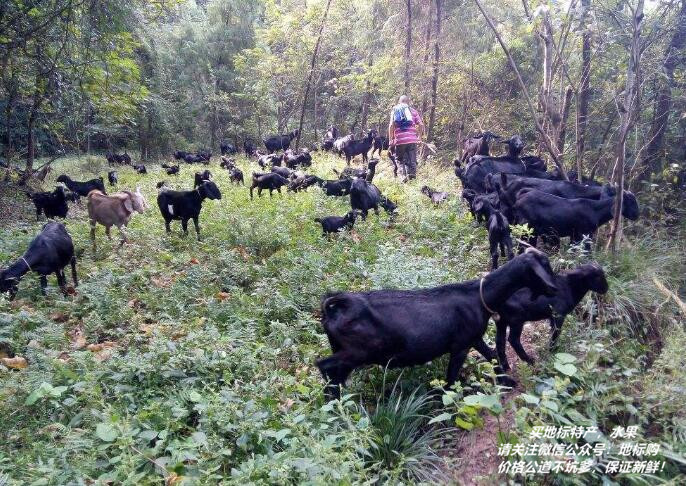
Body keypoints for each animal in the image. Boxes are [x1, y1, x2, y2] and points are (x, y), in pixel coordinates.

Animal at [318, 249, 560, 396]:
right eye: (545, 266)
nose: (555, 288)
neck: (479, 296)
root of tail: (335, 308)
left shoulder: (474, 338)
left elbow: (492, 355)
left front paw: (507, 380)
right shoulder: (460, 346)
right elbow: (451, 379)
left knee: (335, 374)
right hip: (357, 352)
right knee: (324, 365)